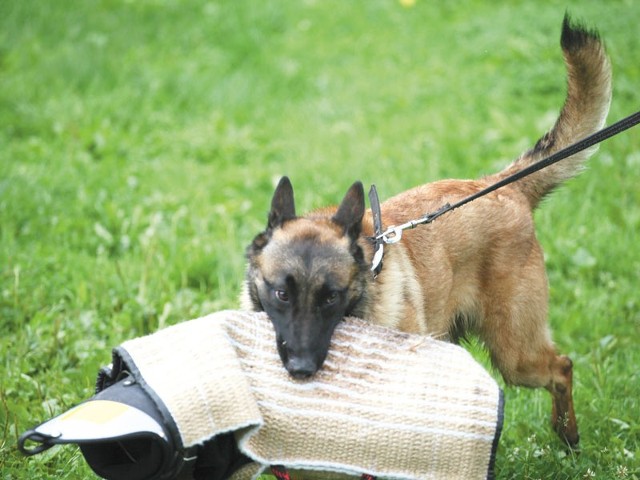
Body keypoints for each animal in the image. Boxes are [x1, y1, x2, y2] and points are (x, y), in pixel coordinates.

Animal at [242, 15, 612, 450]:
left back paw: (567, 434)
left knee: (562, 367)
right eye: (282, 294)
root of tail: (501, 186)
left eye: (330, 297)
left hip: (515, 353)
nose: (300, 368)